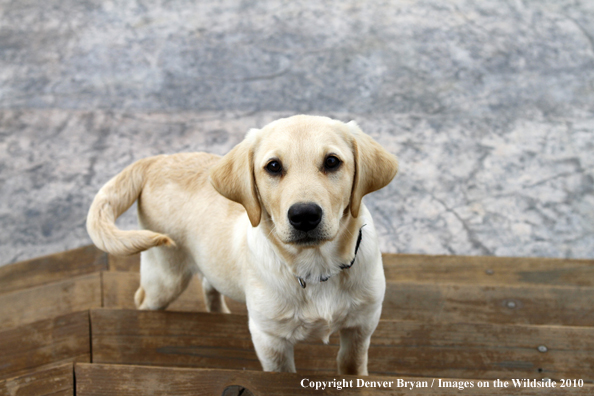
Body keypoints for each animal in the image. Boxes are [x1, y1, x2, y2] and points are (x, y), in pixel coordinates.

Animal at [85, 114, 396, 374]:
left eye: (332, 162)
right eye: (273, 167)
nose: (304, 216)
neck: (316, 268)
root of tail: (155, 160)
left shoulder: (362, 325)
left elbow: (352, 366)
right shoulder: (269, 339)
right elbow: (283, 374)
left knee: (209, 283)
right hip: (165, 277)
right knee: (143, 299)